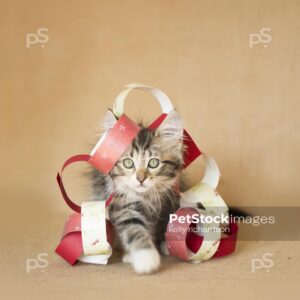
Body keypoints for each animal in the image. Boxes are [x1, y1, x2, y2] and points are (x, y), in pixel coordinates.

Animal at [88, 110, 184, 274]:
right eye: (128, 163)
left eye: (153, 163)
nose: (140, 179)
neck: (146, 197)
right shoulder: (123, 204)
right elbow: (134, 229)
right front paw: (146, 258)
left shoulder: (168, 200)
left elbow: (166, 222)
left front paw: (165, 243)